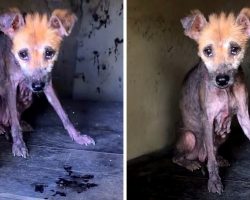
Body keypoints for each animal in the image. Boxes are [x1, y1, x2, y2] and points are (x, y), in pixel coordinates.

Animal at [0, 8, 94, 159]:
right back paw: (3, 129)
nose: (38, 87)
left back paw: (22, 124)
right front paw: (19, 144)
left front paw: (77, 136)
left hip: (27, 98)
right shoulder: (11, 86)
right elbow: (14, 120)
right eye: (22, 54)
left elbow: (63, 113)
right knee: (10, 120)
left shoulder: (48, 83)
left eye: (49, 52)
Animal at [173, 8, 250, 194]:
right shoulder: (207, 120)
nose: (222, 80)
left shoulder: (244, 115)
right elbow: (211, 163)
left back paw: (219, 158)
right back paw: (190, 163)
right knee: (178, 157)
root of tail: (199, 156)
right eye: (207, 51)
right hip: (189, 137)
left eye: (235, 49)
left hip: (223, 134)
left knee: (212, 151)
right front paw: (214, 181)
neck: (226, 91)